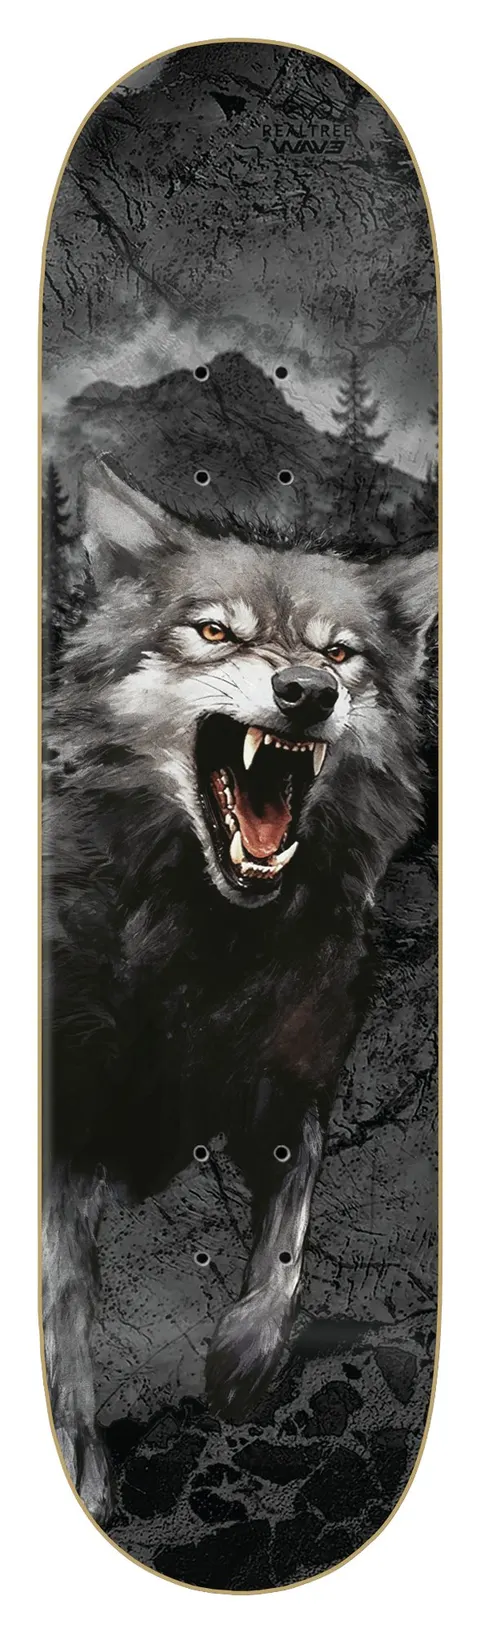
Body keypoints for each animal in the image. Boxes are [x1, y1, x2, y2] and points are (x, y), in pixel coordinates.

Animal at [42, 458, 437, 1523]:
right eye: (215, 631)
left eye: (340, 652)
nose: (307, 690)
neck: (209, 948)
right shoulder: (69, 1127)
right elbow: (62, 1298)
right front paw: (74, 1456)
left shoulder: (291, 1086)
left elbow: (291, 1236)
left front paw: (245, 1360)